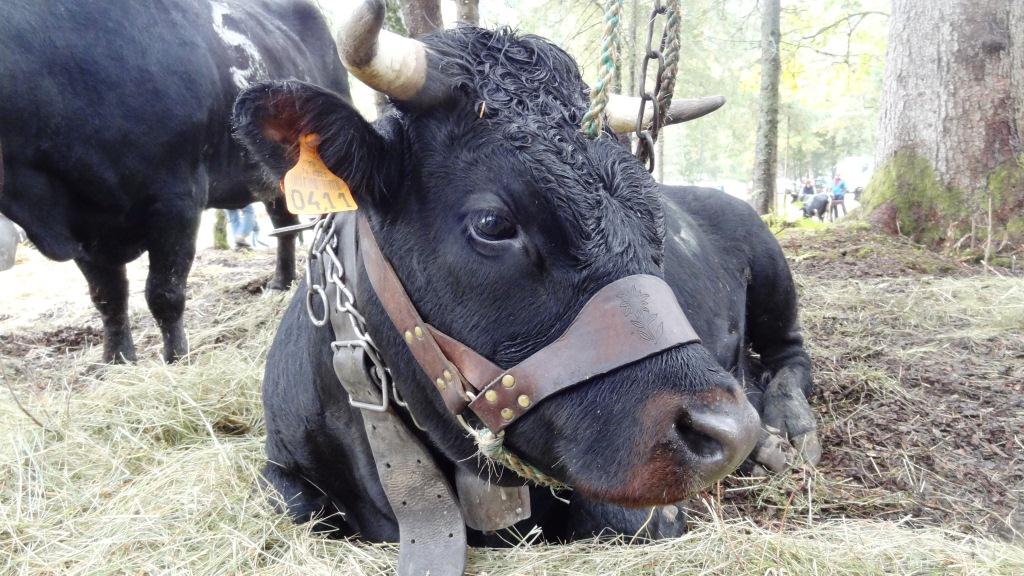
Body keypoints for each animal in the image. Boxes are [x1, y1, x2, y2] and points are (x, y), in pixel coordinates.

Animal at [0, 0, 349, 362]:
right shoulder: (82, 223)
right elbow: (108, 296)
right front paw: (117, 359)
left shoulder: (175, 201)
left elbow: (164, 292)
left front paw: (176, 358)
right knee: (284, 221)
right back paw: (280, 282)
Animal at [233, 1, 820, 543]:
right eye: (492, 223)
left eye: (651, 206)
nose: (728, 430)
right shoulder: (279, 469)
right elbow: (291, 501)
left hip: (773, 273)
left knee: (790, 356)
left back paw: (785, 429)